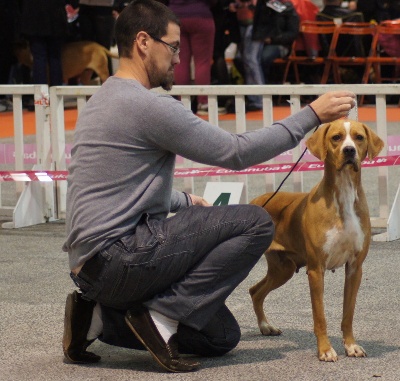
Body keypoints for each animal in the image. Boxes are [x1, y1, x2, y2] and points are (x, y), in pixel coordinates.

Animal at [250, 120, 384, 360]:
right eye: (336, 137)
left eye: (359, 137)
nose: (349, 151)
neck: (343, 193)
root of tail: (257, 201)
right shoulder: (316, 269)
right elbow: (319, 316)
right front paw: (325, 350)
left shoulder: (355, 267)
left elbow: (348, 313)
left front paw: (351, 345)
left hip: (283, 268)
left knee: (255, 291)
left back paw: (266, 326)